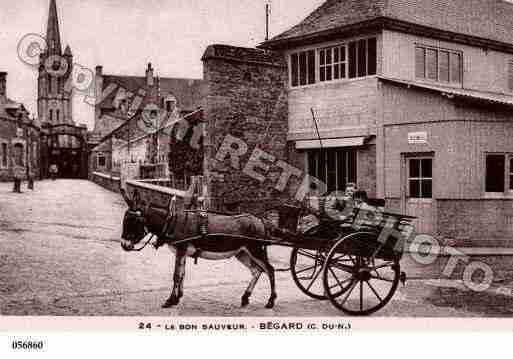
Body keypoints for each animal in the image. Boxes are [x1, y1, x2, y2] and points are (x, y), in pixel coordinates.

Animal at [119, 190, 276, 310]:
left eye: (134, 221)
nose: (124, 244)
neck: (172, 220)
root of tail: (260, 220)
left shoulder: (181, 249)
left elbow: (176, 275)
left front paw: (170, 300)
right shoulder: (182, 251)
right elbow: (182, 274)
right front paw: (177, 298)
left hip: (254, 249)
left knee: (270, 269)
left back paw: (270, 301)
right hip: (242, 252)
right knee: (257, 271)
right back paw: (245, 298)